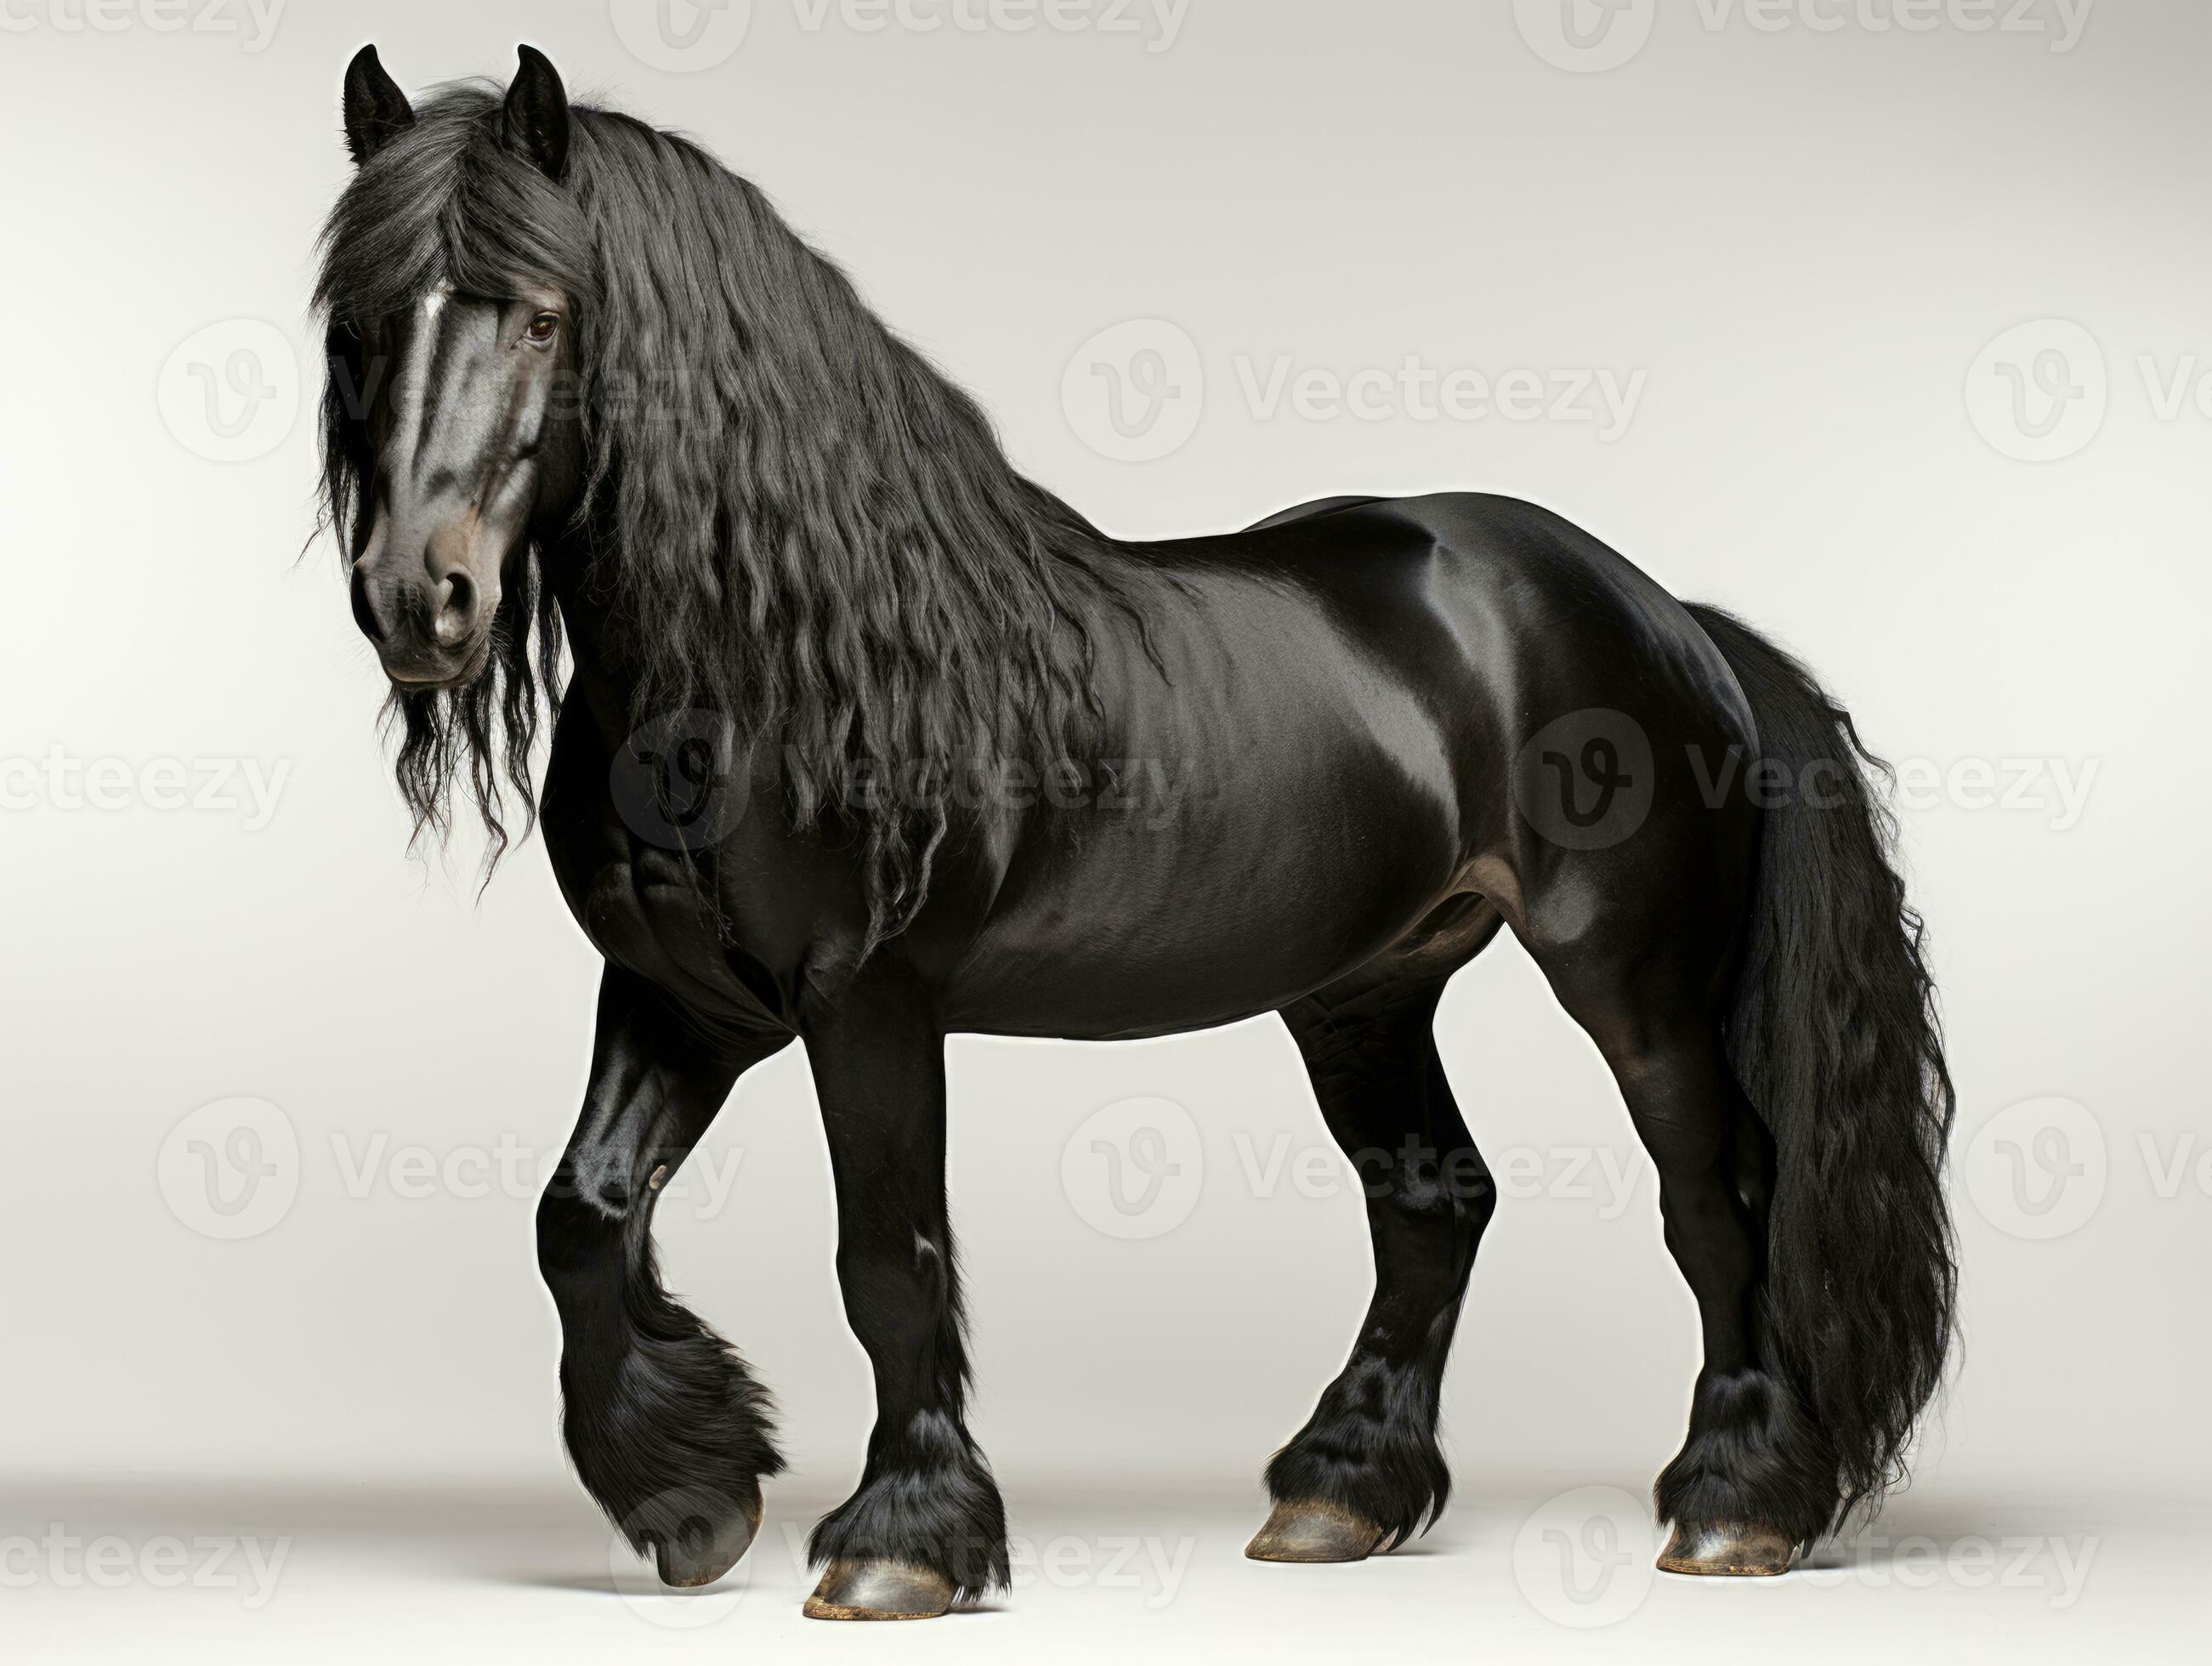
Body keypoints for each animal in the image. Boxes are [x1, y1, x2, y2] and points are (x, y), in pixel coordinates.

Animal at [318, 44, 1956, 1622]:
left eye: (542, 314)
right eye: (359, 326)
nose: (417, 600)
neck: (778, 661)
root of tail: (1666, 612)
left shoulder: (867, 1001)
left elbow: (887, 1260)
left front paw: (901, 1542)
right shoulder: (681, 999)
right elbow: (580, 1218)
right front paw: (688, 1494)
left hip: (1632, 982)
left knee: (1715, 1198)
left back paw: (1735, 1505)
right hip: (1363, 993)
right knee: (1435, 1200)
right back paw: (1337, 1492)